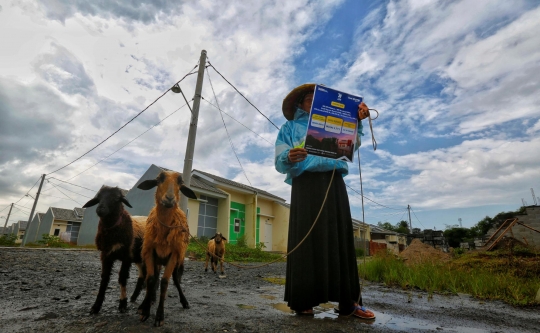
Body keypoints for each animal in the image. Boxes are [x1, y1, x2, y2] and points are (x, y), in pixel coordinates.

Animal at [136, 170, 197, 326]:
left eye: (180, 182)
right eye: (159, 179)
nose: (170, 199)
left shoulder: (174, 254)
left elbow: (164, 282)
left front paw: (159, 316)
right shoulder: (149, 251)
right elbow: (151, 279)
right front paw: (145, 310)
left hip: (178, 259)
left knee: (175, 279)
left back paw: (184, 302)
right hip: (157, 260)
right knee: (154, 277)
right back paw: (149, 300)